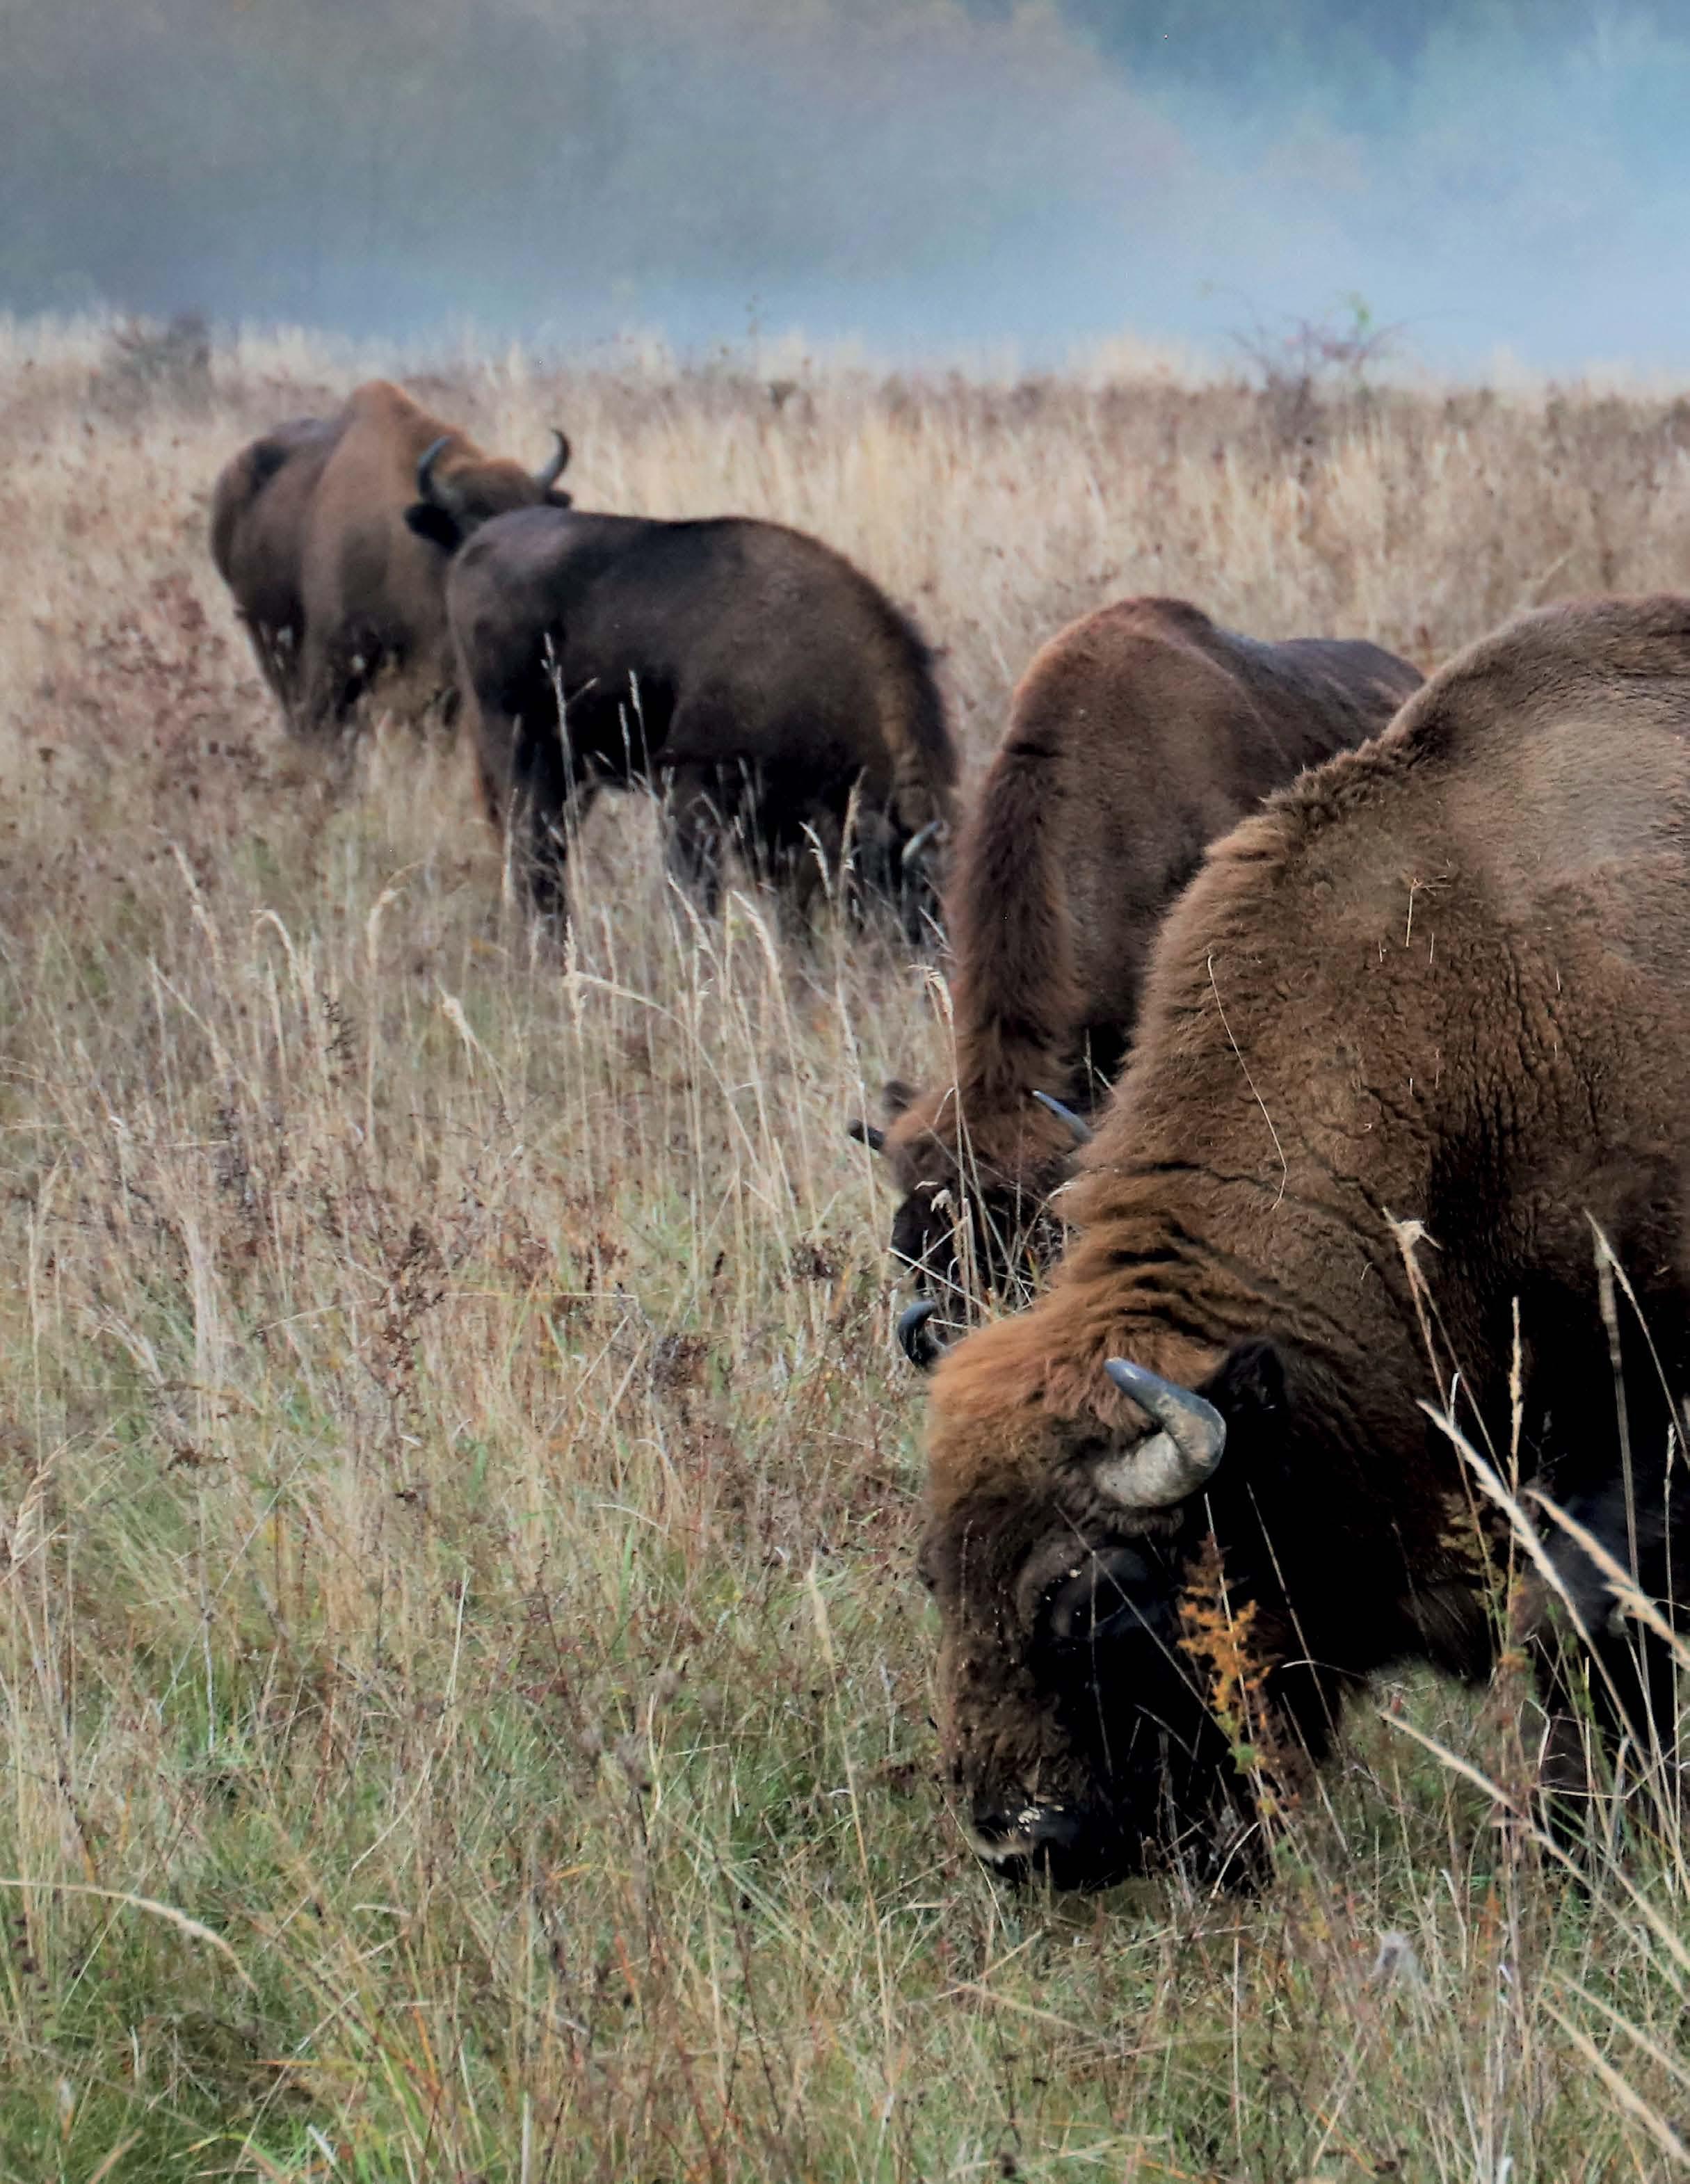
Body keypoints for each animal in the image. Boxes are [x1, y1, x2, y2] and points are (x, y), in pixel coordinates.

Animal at [444, 505, 957, 931]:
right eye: (905, 883)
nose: (924, 948)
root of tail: (473, 549)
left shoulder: (773, 816)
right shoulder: (693, 788)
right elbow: (698, 892)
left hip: (572, 774)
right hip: (527, 759)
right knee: (534, 859)